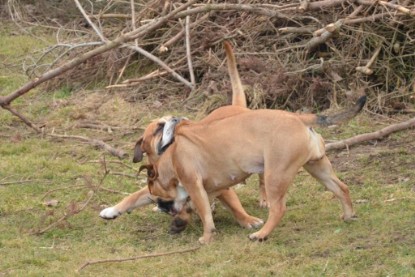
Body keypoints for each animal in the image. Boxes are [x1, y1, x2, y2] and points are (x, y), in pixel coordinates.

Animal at [141, 95, 366, 244]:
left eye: (159, 197)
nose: (161, 207)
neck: (172, 156)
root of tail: (299, 118)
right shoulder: (212, 188)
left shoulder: (195, 187)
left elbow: (206, 216)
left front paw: (206, 237)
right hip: (318, 167)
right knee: (342, 188)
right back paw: (348, 215)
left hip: (275, 175)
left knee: (278, 208)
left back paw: (261, 235)